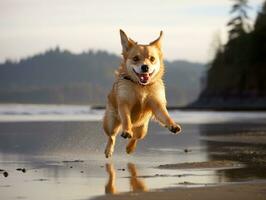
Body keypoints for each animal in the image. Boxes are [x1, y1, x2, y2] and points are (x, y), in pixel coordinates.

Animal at [103, 29, 182, 158]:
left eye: (152, 59)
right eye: (135, 58)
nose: (145, 67)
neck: (141, 87)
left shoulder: (157, 105)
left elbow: (166, 116)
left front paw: (172, 124)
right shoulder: (124, 104)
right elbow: (126, 119)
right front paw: (127, 130)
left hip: (143, 129)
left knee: (136, 137)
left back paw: (130, 148)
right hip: (111, 122)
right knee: (112, 136)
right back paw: (109, 150)